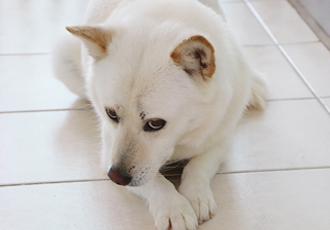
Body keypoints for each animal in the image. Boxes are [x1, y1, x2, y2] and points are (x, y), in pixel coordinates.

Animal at [52, 0, 268, 229]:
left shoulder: (221, 137)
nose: (116, 177)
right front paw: (174, 208)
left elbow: (198, 166)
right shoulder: (110, 151)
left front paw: (196, 195)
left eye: (155, 123)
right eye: (111, 114)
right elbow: (155, 181)